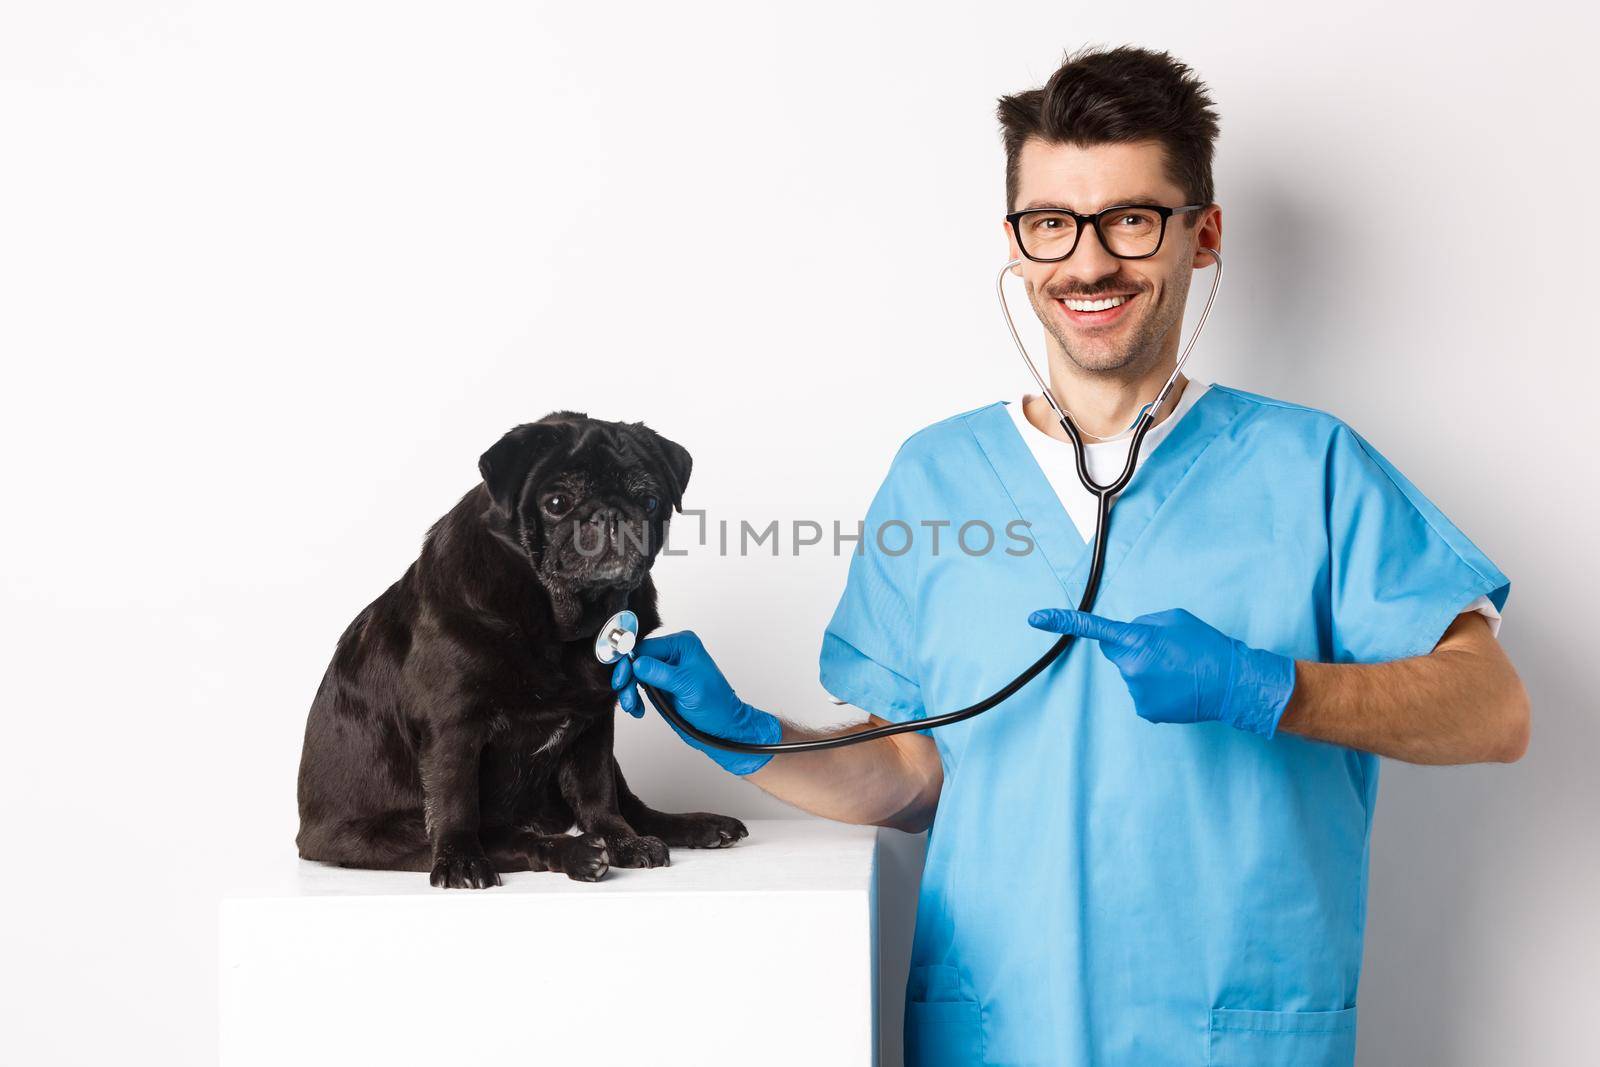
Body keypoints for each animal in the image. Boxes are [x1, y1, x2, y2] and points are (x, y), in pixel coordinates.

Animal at [297, 412, 745, 889]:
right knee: (504, 837)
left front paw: (623, 842)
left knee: (630, 806)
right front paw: (459, 861)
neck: (560, 621)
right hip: (384, 833)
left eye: (649, 500)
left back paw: (692, 826)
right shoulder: (453, 727)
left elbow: (599, 795)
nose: (609, 513)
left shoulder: (593, 725)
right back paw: (574, 853)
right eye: (557, 502)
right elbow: (456, 803)